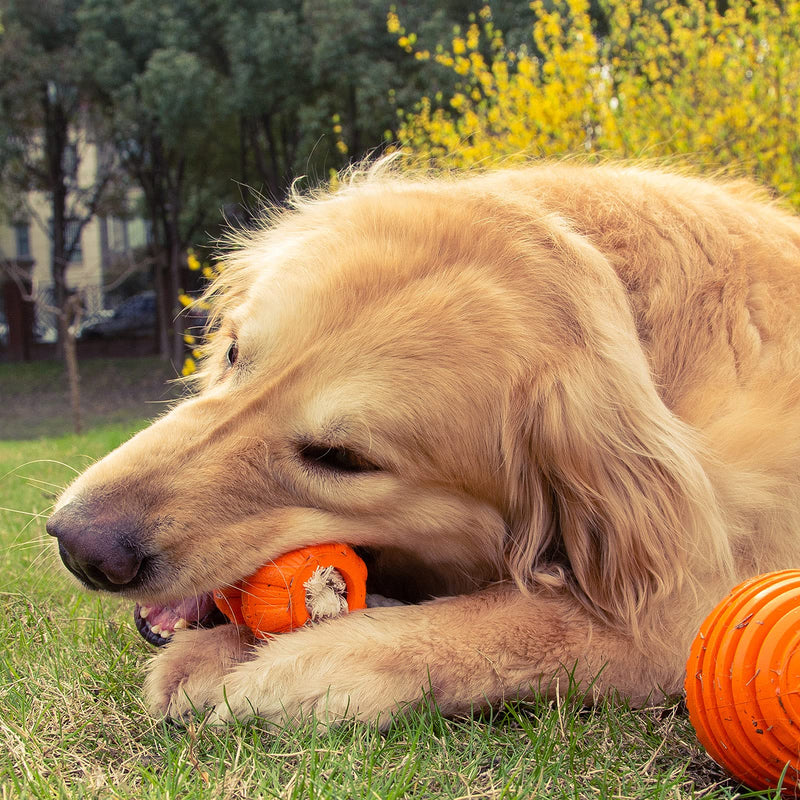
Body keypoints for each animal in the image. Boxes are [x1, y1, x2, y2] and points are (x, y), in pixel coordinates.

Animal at [45, 162, 800, 724]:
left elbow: (520, 621)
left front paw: (284, 669)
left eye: (344, 460)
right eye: (233, 353)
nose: (79, 545)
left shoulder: (688, 606)